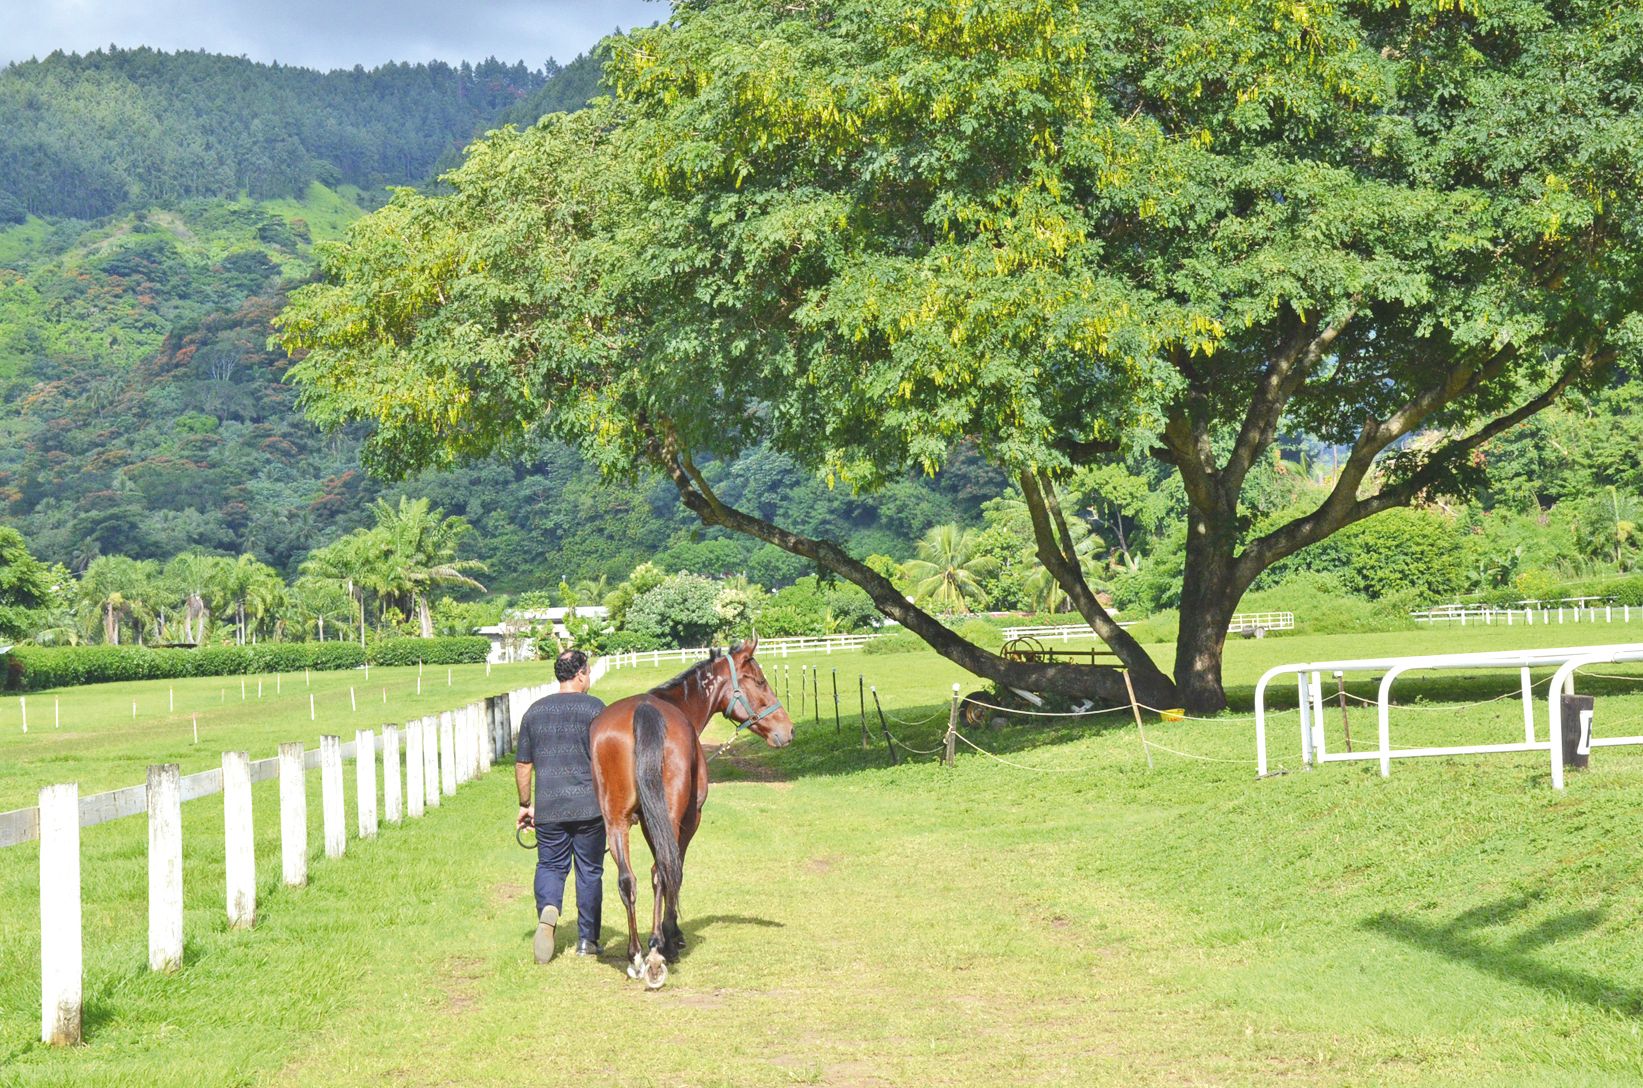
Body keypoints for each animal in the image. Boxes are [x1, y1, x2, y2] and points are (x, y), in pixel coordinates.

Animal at [591, 634, 795, 992]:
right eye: (759, 681)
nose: (788, 730)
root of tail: (643, 711)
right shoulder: (690, 820)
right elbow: (676, 871)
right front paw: (670, 938)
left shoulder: (648, 823)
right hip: (672, 817)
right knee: (661, 871)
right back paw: (656, 954)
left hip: (615, 822)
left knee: (627, 880)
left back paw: (635, 956)